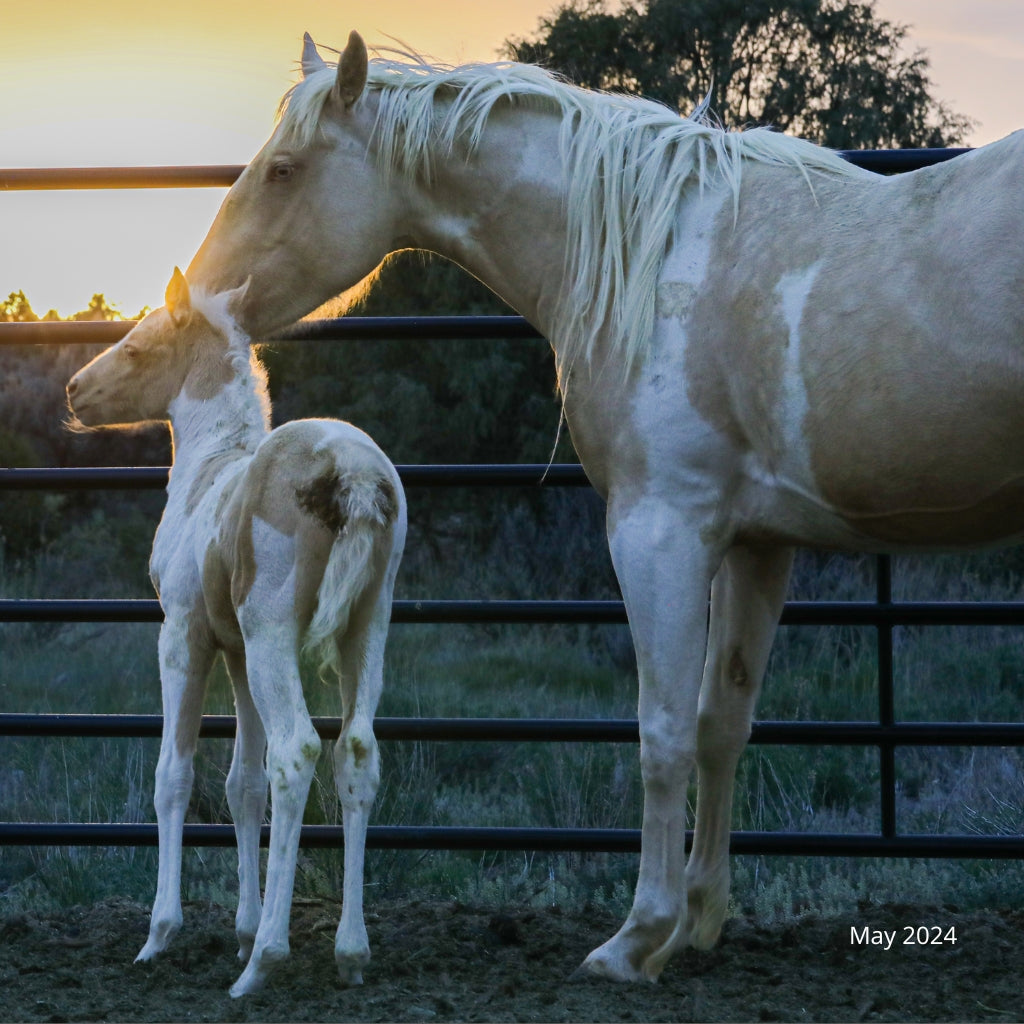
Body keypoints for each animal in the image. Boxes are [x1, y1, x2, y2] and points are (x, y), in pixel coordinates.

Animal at [64, 268, 405, 995]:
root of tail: (353, 472)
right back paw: (349, 954)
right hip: (367, 627)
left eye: (136, 345)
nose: (74, 391)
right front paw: (242, 927)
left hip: (276, 633)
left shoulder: (184, 637)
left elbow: (175, 774)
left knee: (298, 751)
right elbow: (242, 784)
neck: (209, 472)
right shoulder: (240, 654)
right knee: (355, 752)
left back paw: (263, 964)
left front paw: (161, 935)